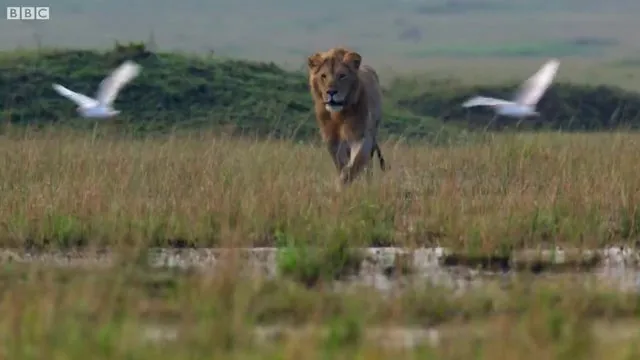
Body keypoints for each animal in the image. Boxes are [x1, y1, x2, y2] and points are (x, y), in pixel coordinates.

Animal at [308, 47, 388, 186]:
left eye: (342, 76)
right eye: (323, 76)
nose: (331, 92)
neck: (338, 115)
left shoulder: (361, 137)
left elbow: (355, 164)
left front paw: (344, 182)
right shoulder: (332, 141)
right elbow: (340, 164)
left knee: (368, 164)